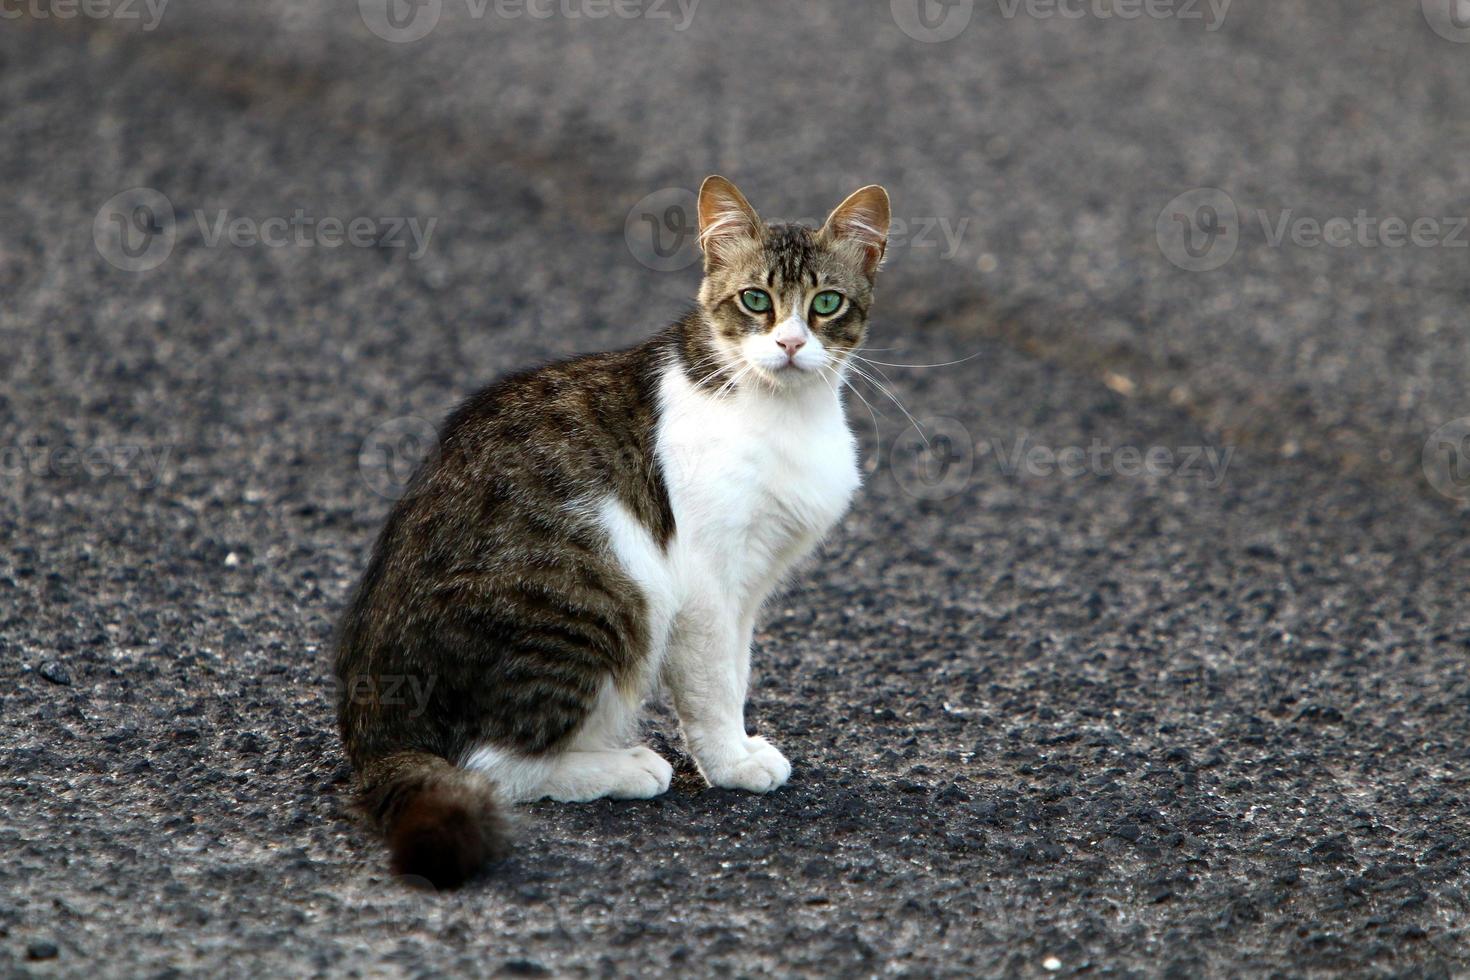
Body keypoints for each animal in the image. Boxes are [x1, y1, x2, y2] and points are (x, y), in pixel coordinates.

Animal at [335, 176, 887, 887]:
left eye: (826, 303)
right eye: (755, 300)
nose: (790, 345)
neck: (781, 409)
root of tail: (375, 727)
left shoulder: (747, 587)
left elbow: (736, 670)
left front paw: (735, 747)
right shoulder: (704, 582)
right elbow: (713, 683)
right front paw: (731, 762)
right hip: (609, 593)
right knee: (492, 766)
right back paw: (620, 768)